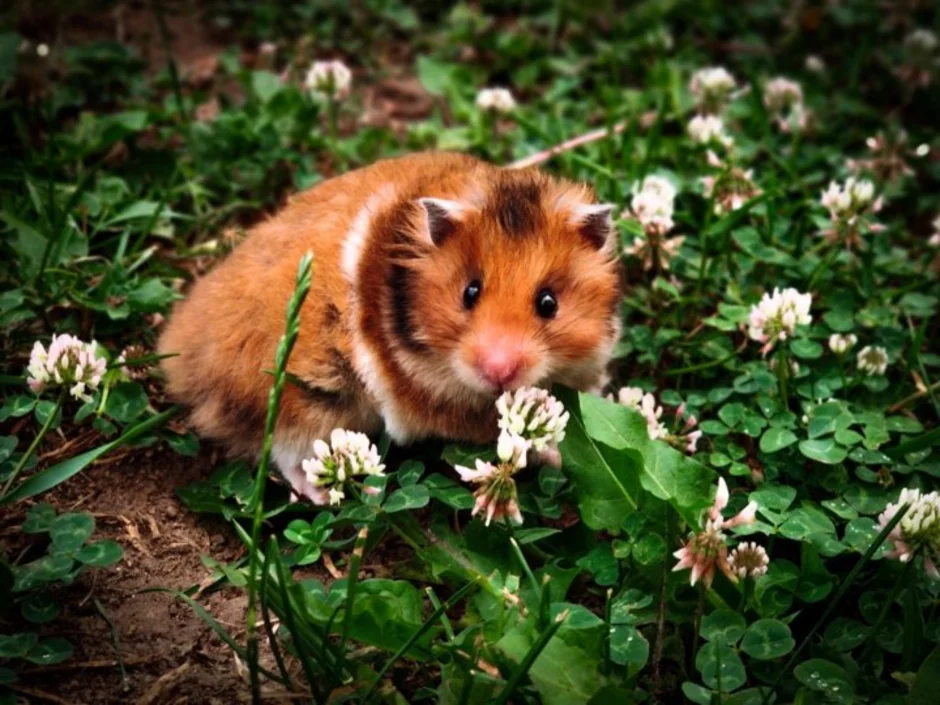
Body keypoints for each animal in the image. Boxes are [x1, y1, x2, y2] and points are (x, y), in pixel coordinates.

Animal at [158, 154, 620, 496]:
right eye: (469, 292)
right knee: (285, 450)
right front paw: (566, 453)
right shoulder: (440, 406)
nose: (498, 370)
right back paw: (338, 490)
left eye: (548, 303)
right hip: (305, 395)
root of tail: (180, 358)